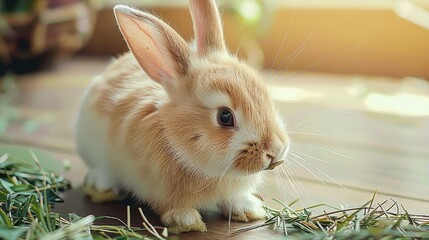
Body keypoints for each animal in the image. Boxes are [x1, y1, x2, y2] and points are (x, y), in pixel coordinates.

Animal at [75, 0, 290, 233]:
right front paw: (186, 222)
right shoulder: (155, 187)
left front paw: (248, 209)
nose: (277, 152)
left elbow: (233, 199)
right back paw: (100, 186)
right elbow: (170, 205)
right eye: (225, 117)